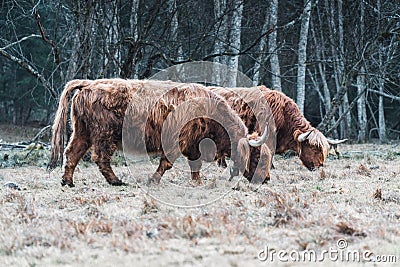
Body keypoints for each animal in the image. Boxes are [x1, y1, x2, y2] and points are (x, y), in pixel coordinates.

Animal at [48, 78, 270, 187]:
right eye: (257, 157)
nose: (266, 179)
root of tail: (89, 84)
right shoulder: (178, 141)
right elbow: (167, 163)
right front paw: (153, 180)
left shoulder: (193, 144)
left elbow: (194, 164)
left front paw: (197, 182)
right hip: (105, 133)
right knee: (100, 157)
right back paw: (116, 181)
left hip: (82, 131)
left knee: (72, 153)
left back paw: (67, 181)